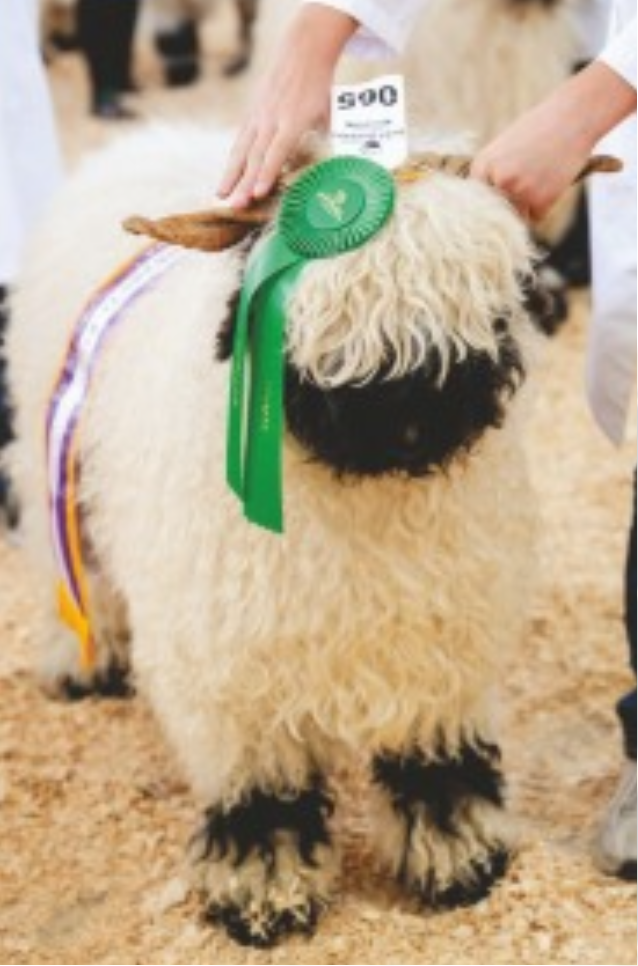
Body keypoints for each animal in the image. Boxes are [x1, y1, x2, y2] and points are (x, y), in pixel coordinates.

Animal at [7, 123, 542, 947]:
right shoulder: (230, 667)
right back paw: (81, 661)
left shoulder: (442, 635)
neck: (368, 500)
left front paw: (460, 859)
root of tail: (148, 138)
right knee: (71, 563)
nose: (414, 419)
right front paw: (262, 891)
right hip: (55, 460)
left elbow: (437, 760)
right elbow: (264, 792)